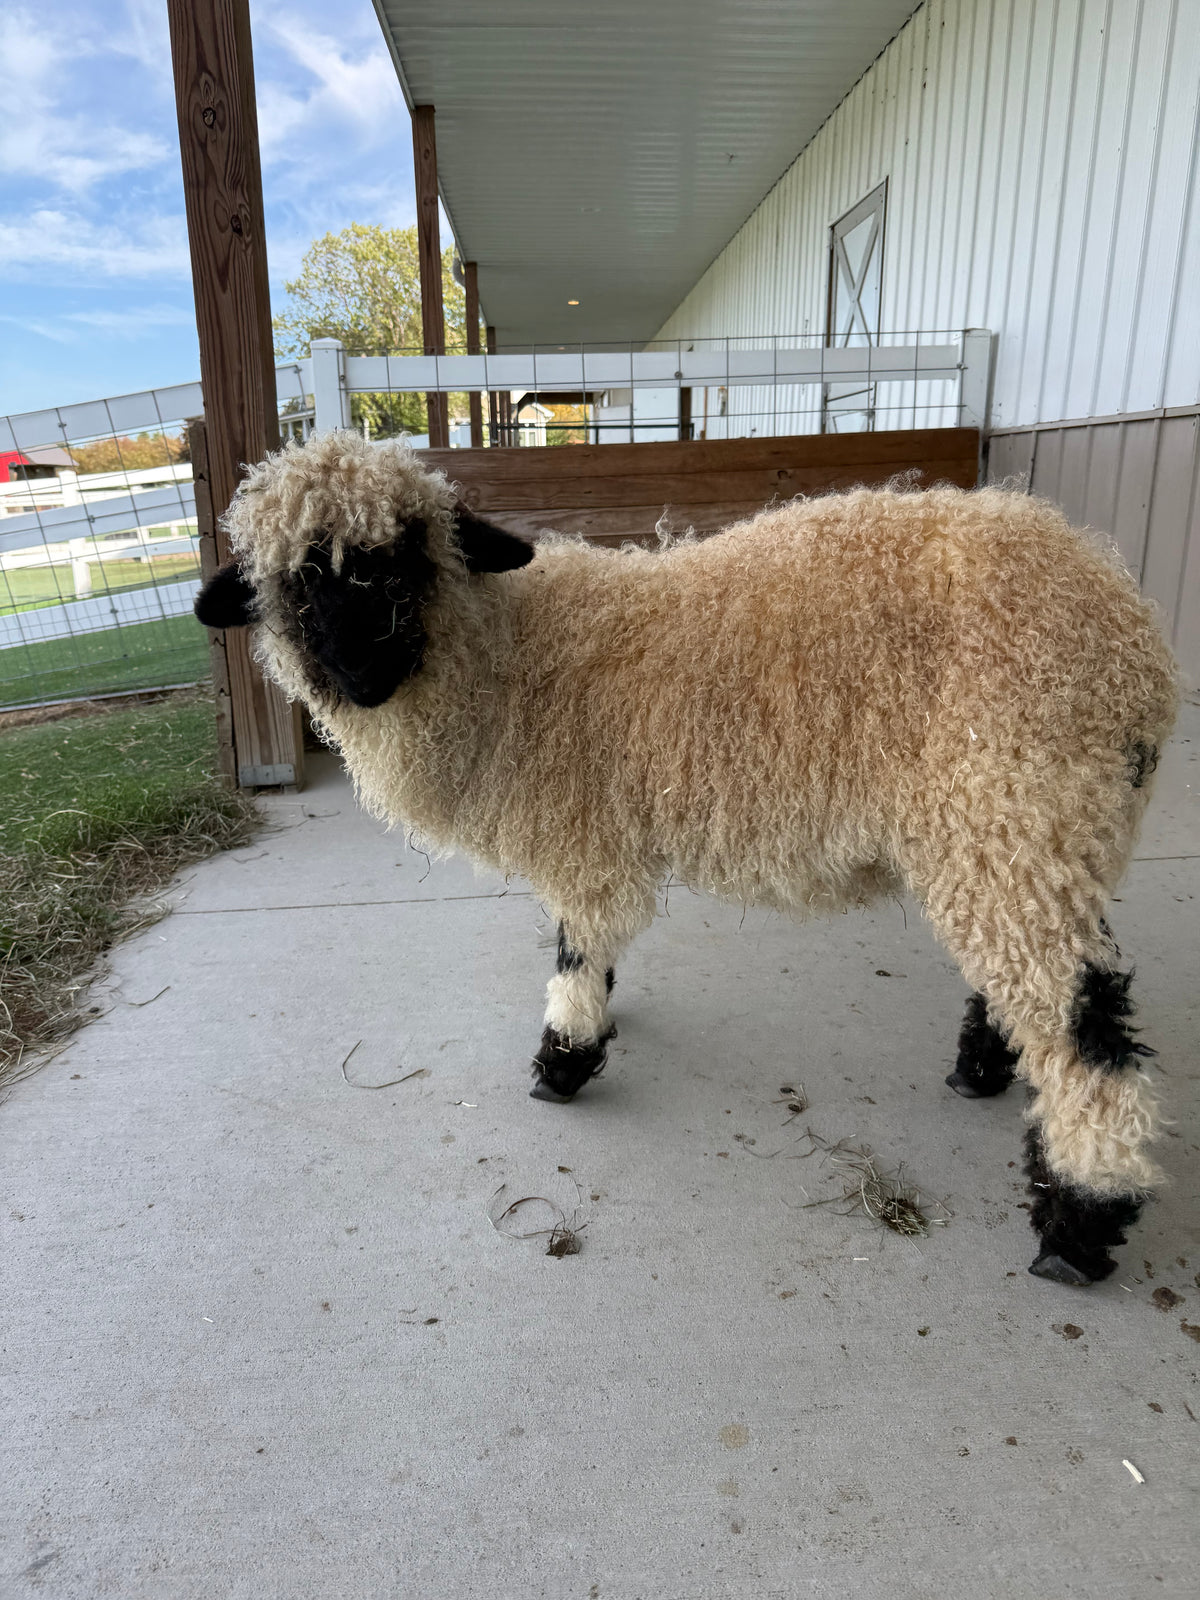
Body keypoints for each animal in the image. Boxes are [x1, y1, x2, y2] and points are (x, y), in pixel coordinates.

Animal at [195, 429, 1178, 1286]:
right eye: (293, 585)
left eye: (408, 559)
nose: (362, 674)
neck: (507, 659)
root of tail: (1131, 640)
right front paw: (600, 1023)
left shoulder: (583, 836)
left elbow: (577, 950)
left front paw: (564, 1060)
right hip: (1021, 833)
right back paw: (982, 1071)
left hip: (1015, 803)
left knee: (1083, 1022)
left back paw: (1081, 1221)